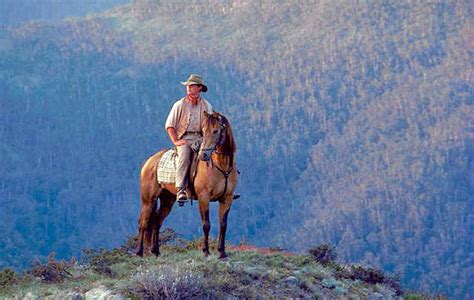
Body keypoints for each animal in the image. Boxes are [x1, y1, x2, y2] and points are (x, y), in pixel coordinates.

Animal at [135, 111, 239, 258]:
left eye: (216, 131)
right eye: (204, 131)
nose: (203, 155)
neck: (221, 166)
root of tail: (149, 161)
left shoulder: (227, 198)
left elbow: (223, 225)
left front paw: (222, 252)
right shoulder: (203, 198)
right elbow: (206, 224)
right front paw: (206, 251)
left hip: (167, 200)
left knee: (157, 222)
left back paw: (156, 251)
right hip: (148, 200)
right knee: (143, 222)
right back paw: (139, 252)